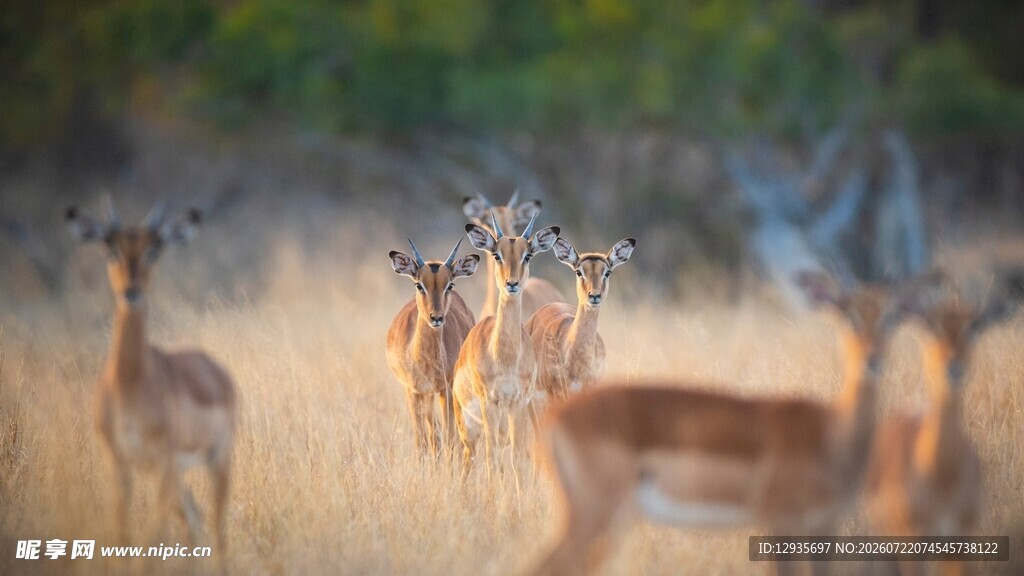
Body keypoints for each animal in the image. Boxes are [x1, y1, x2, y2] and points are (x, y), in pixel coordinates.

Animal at [66, 199, 236, 564]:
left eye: (154, 250)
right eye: (110, 248)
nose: (131, 291)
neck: (131, 383)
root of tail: (216, 369)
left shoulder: (165, 466)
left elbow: (147, 541)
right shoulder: (118, 463)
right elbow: (124, 535)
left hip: (216, 460)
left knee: (216, 531)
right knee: (194, 523)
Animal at [386, 238, 479, 457]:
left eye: (449, 285)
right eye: (419, 284)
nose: (436, 317)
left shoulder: (447, 389)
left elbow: (449, 439)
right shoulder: (414, 391)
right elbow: (423, 442)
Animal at [452, 213, 560, 482]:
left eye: (527, 255)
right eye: (496, 254)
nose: (512, 283)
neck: (505, 358)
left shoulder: (517, 403)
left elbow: (517, 459)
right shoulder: (489, 402)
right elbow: (490, 459)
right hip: (468, 427)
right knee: (470, 458)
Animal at [526, 271, 930, 576]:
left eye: (894, 315)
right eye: (846, 313)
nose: (872, 360)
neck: (831, 432)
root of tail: (559, 420)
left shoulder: (821, 529)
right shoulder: (783, 524)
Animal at [865, 275, 1020, 576]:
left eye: (975, 325)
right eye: (930, 324)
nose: (953, 364)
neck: (941, 474)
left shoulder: (960, 542)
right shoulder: (912, 545)